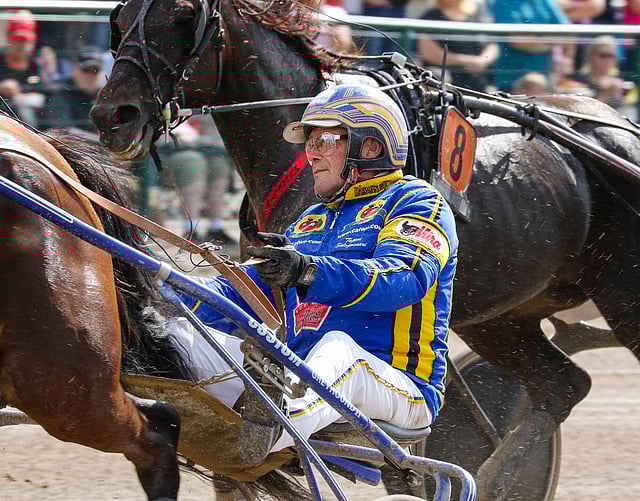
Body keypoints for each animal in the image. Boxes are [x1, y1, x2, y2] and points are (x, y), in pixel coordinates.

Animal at [90, 0, 640, 498]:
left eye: (184, 16)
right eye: (119, 19)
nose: (112, 115)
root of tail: (617, 126)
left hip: (620, 297)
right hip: (503, 317)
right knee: (561, 385)